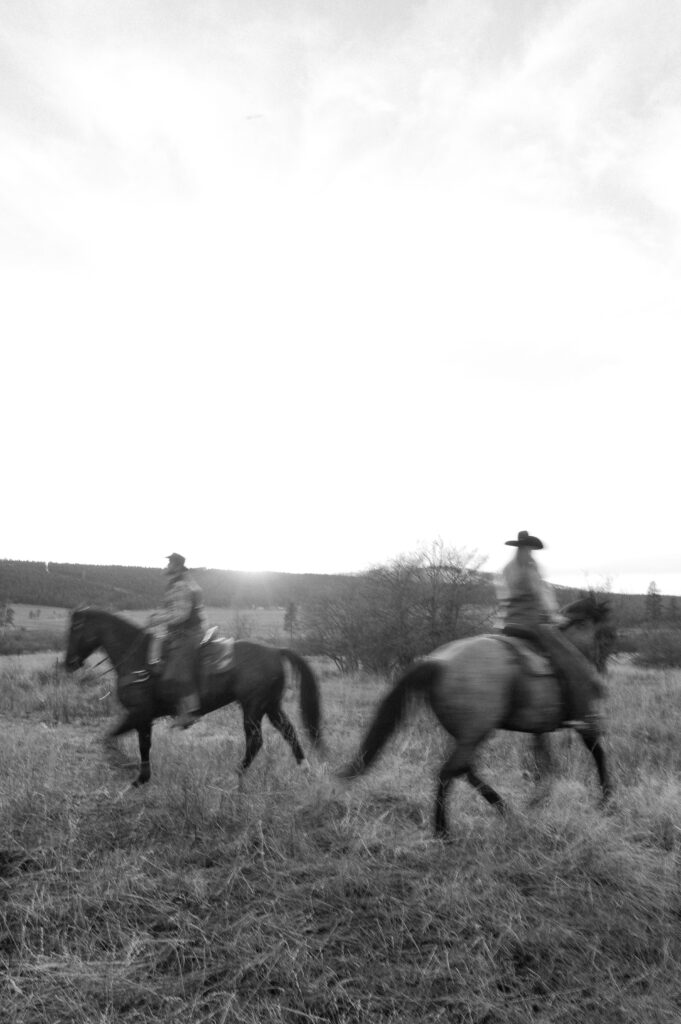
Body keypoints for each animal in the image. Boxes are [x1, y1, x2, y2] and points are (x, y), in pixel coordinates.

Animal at [65, 606, 323, 782]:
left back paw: (236, 774)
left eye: (76, 628)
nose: (69, 663)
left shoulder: (139, 714)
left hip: (253, 707)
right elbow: (129, 742)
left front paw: (132, 771)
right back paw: (305, 769)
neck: (137, 658)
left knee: (256, 741)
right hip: (271, 705)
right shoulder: (143, 718)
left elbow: (120, 741)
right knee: (289, 732)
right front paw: (136, 774)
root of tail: (276, 651)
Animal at [339, 598, 610, 835]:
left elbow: (544, 762)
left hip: (467, 735)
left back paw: (502, 809)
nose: (599, 668)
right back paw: (443, 831)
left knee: (464, 769)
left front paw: (539, 798)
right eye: (600, 633)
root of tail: (439, 662)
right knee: (450, 772)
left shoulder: (540, 728)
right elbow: (597, 752)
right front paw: (606, 797)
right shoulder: (584, 720)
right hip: (475, 733)